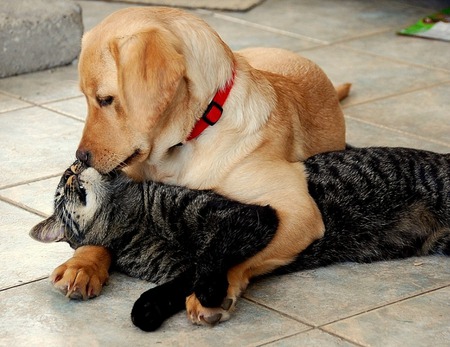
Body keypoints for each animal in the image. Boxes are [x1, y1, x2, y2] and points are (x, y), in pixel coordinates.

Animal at [30, 147, 450, 332]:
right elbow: (176, 281)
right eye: (65, 183)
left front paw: (206, 295)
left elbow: (210, 258)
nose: (78, 164)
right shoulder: (174, 268)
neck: (132, 221)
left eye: (71, 171)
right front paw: (148, 309)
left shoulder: (247, 217)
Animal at [51, 6, 350, 328]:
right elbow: (98, 231)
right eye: (85, 98)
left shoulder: (297, 210)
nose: (81, 159)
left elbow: (237, 253)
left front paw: (211, 292)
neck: (187, 139)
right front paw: (82, 265)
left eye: (106, 99)